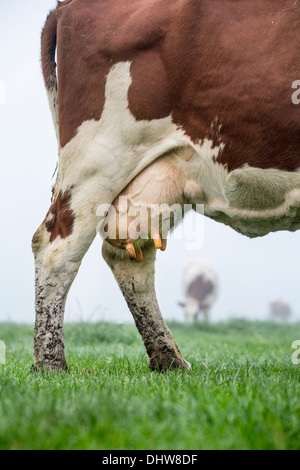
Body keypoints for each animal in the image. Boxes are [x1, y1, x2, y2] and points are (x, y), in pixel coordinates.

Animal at [31, 0, 298, 374]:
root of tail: (65, 6)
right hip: (96, 158)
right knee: (55, 247)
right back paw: (51, 363)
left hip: (159, 177)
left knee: (129, 255)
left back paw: (168, 358)